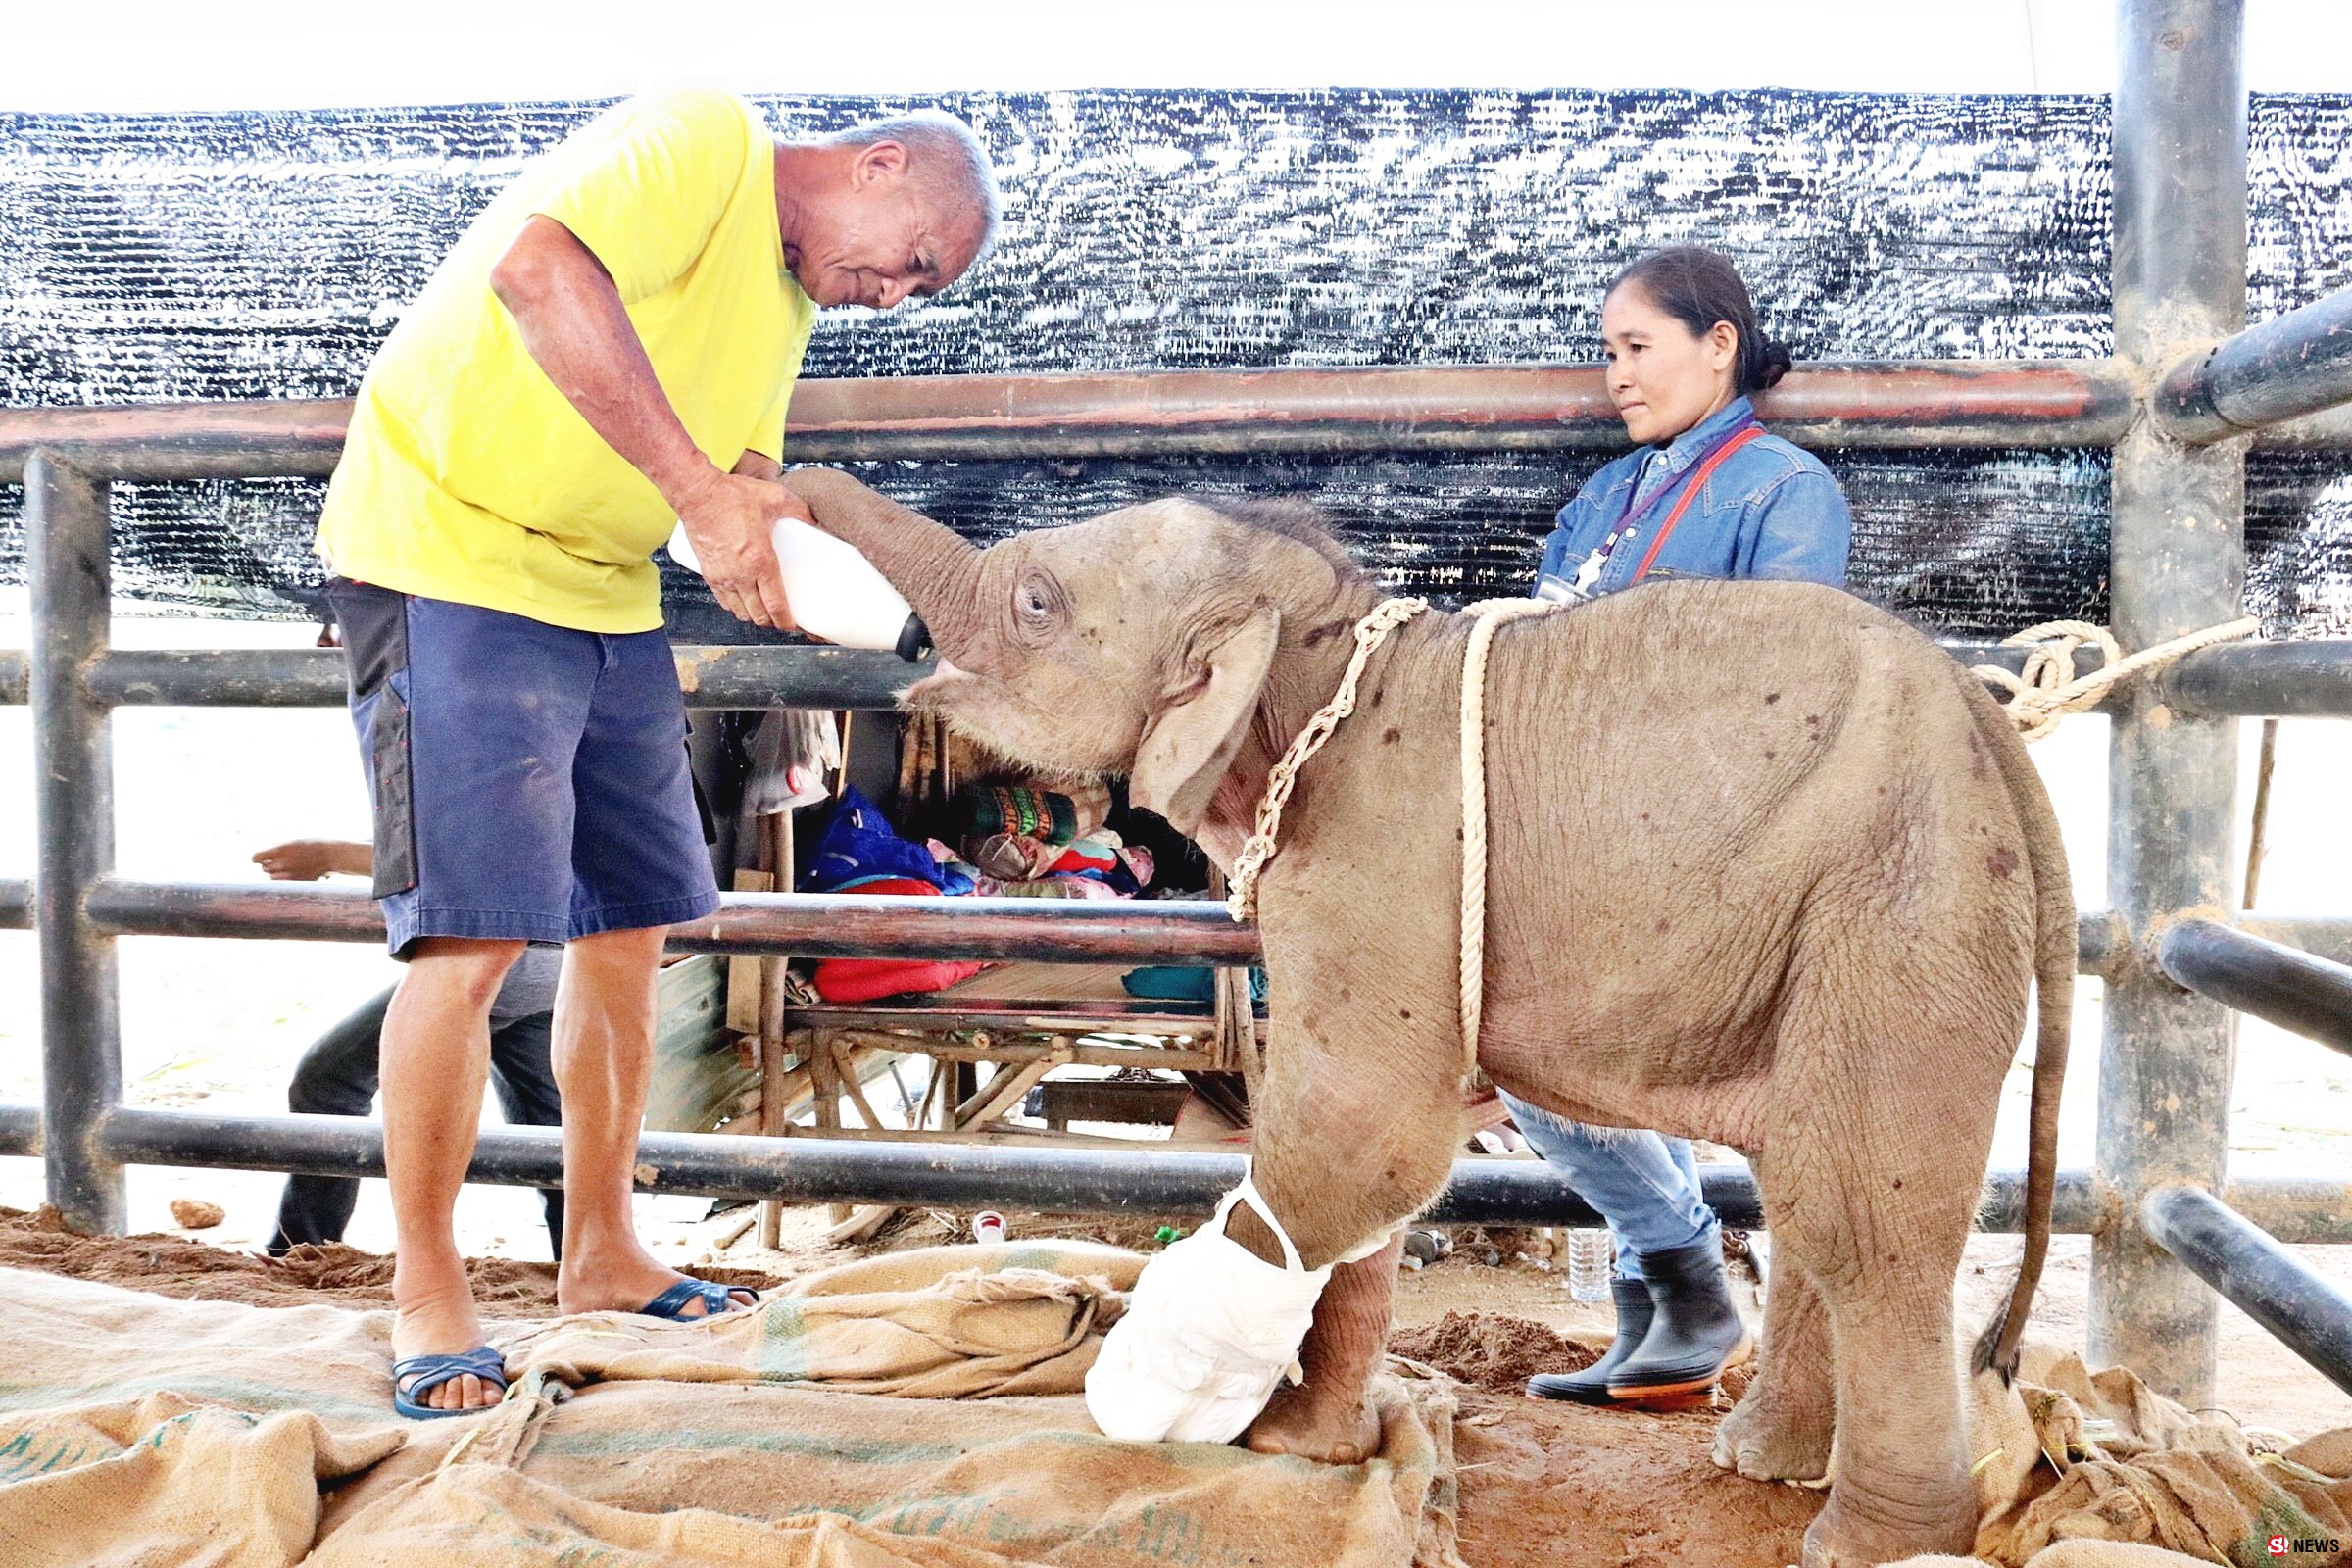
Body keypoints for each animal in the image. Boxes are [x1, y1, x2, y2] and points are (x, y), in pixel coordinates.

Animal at [785, 469, 2060, 1568]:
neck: (1321, 639)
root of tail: (1989, 717)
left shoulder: (1379, 857)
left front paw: (1163, 1397)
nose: (784, 479)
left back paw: (1874, 1540)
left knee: (1857, 1213)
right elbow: (1373, 1171)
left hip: (1904, 902)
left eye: (1039, 601)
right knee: (1803, 1182)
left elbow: (1360, 1135)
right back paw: (1759, 1458)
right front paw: (1312, 1446)